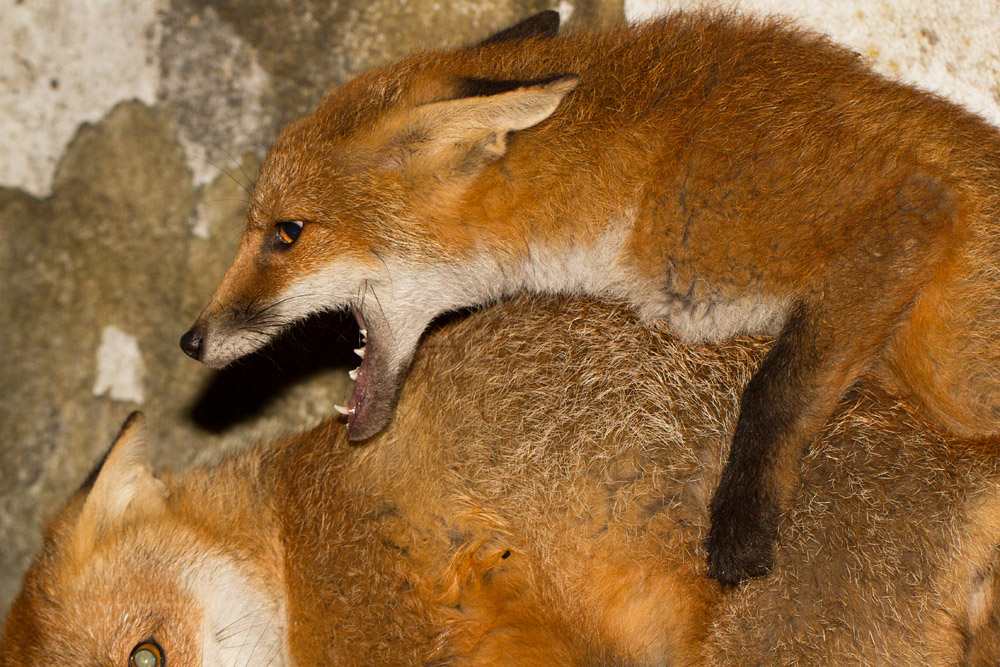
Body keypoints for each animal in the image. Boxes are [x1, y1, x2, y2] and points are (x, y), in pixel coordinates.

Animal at [179, 9, 1000, 584]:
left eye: (287, 232)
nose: (192, 340)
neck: (645, 169)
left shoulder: (898, 215)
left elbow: (777, 390)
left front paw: (741, 525)